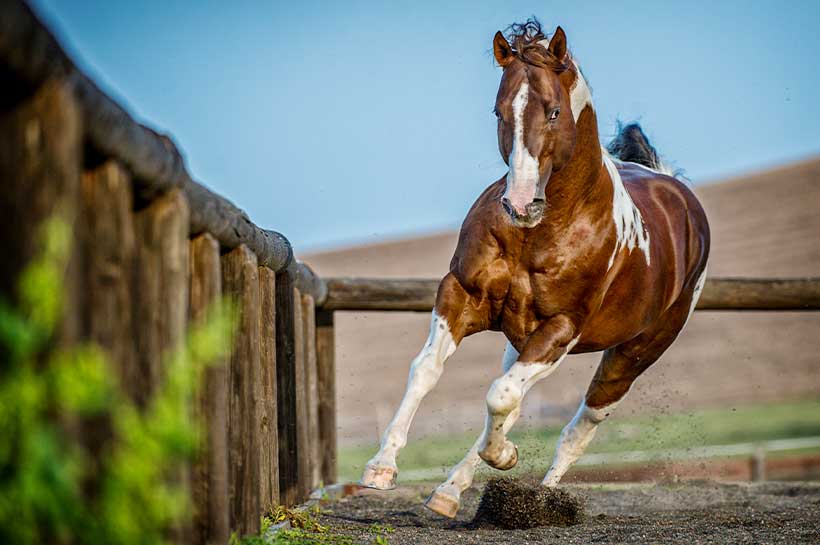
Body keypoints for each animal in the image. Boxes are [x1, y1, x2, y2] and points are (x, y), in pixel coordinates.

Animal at [358, 19, 712, 516]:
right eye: (499, 111)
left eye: (554, 111)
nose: (521, 204)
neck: (541, 233)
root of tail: (672, 186)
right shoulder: (461, 294)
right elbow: (429, 370)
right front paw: (381, 468)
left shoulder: (561, 329)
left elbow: (501, 395)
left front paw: (506, 459)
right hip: (520, 340)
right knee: (515, 404)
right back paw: (449, 492)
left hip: (633, 355)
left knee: (579, 428)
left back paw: (543, 499)